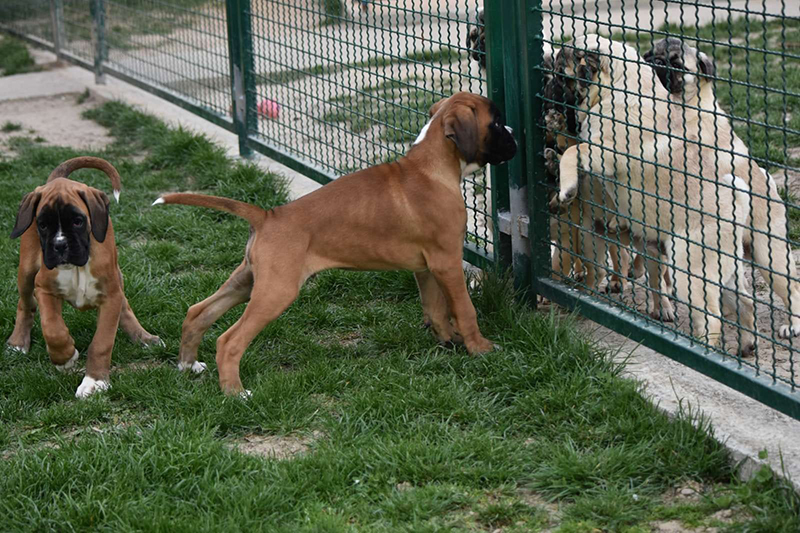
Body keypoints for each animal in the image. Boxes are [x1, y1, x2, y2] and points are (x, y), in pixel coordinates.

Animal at [7, 157, 163, 398]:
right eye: (43, 224)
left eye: (77, 221)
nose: (59, 245)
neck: (77, 267)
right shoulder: (44, 288)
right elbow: (52, 328)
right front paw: (65, 358)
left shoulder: (110, 296)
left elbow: (102, 342)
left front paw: (95, 381)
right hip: (26, 272)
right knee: (24, 304)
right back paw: (17, 342)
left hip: (117, 277)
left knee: (125, 306)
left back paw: (143, 337)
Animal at [153, 93, 518, 395]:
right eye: (496, 122)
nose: (515, 135)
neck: (432, 166)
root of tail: (268, 215)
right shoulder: (447, 262)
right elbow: (464, 309)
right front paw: (479, 348)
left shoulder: (427, 268)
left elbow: (436, 309)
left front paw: (447, 342)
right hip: (276, 292)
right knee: (229, 340)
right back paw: (235, 393)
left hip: (248, 281)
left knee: (198, 311)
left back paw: (188, 364)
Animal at [552, 35, 756, 354]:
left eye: (564, 66)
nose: (551, 75)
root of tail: (733, 203)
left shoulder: (600, 153)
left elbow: (573, 153)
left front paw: (567, 188)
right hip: (727, 272)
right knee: (744, 304)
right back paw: (746, 346)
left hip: (689, 267)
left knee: (711, 318)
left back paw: (700, 346)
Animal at [644, 37, 800, 339]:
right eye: (651, 54)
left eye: (677, 63)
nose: (654, 63)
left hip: (769, 254)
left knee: (792, 289)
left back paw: (794, 325)